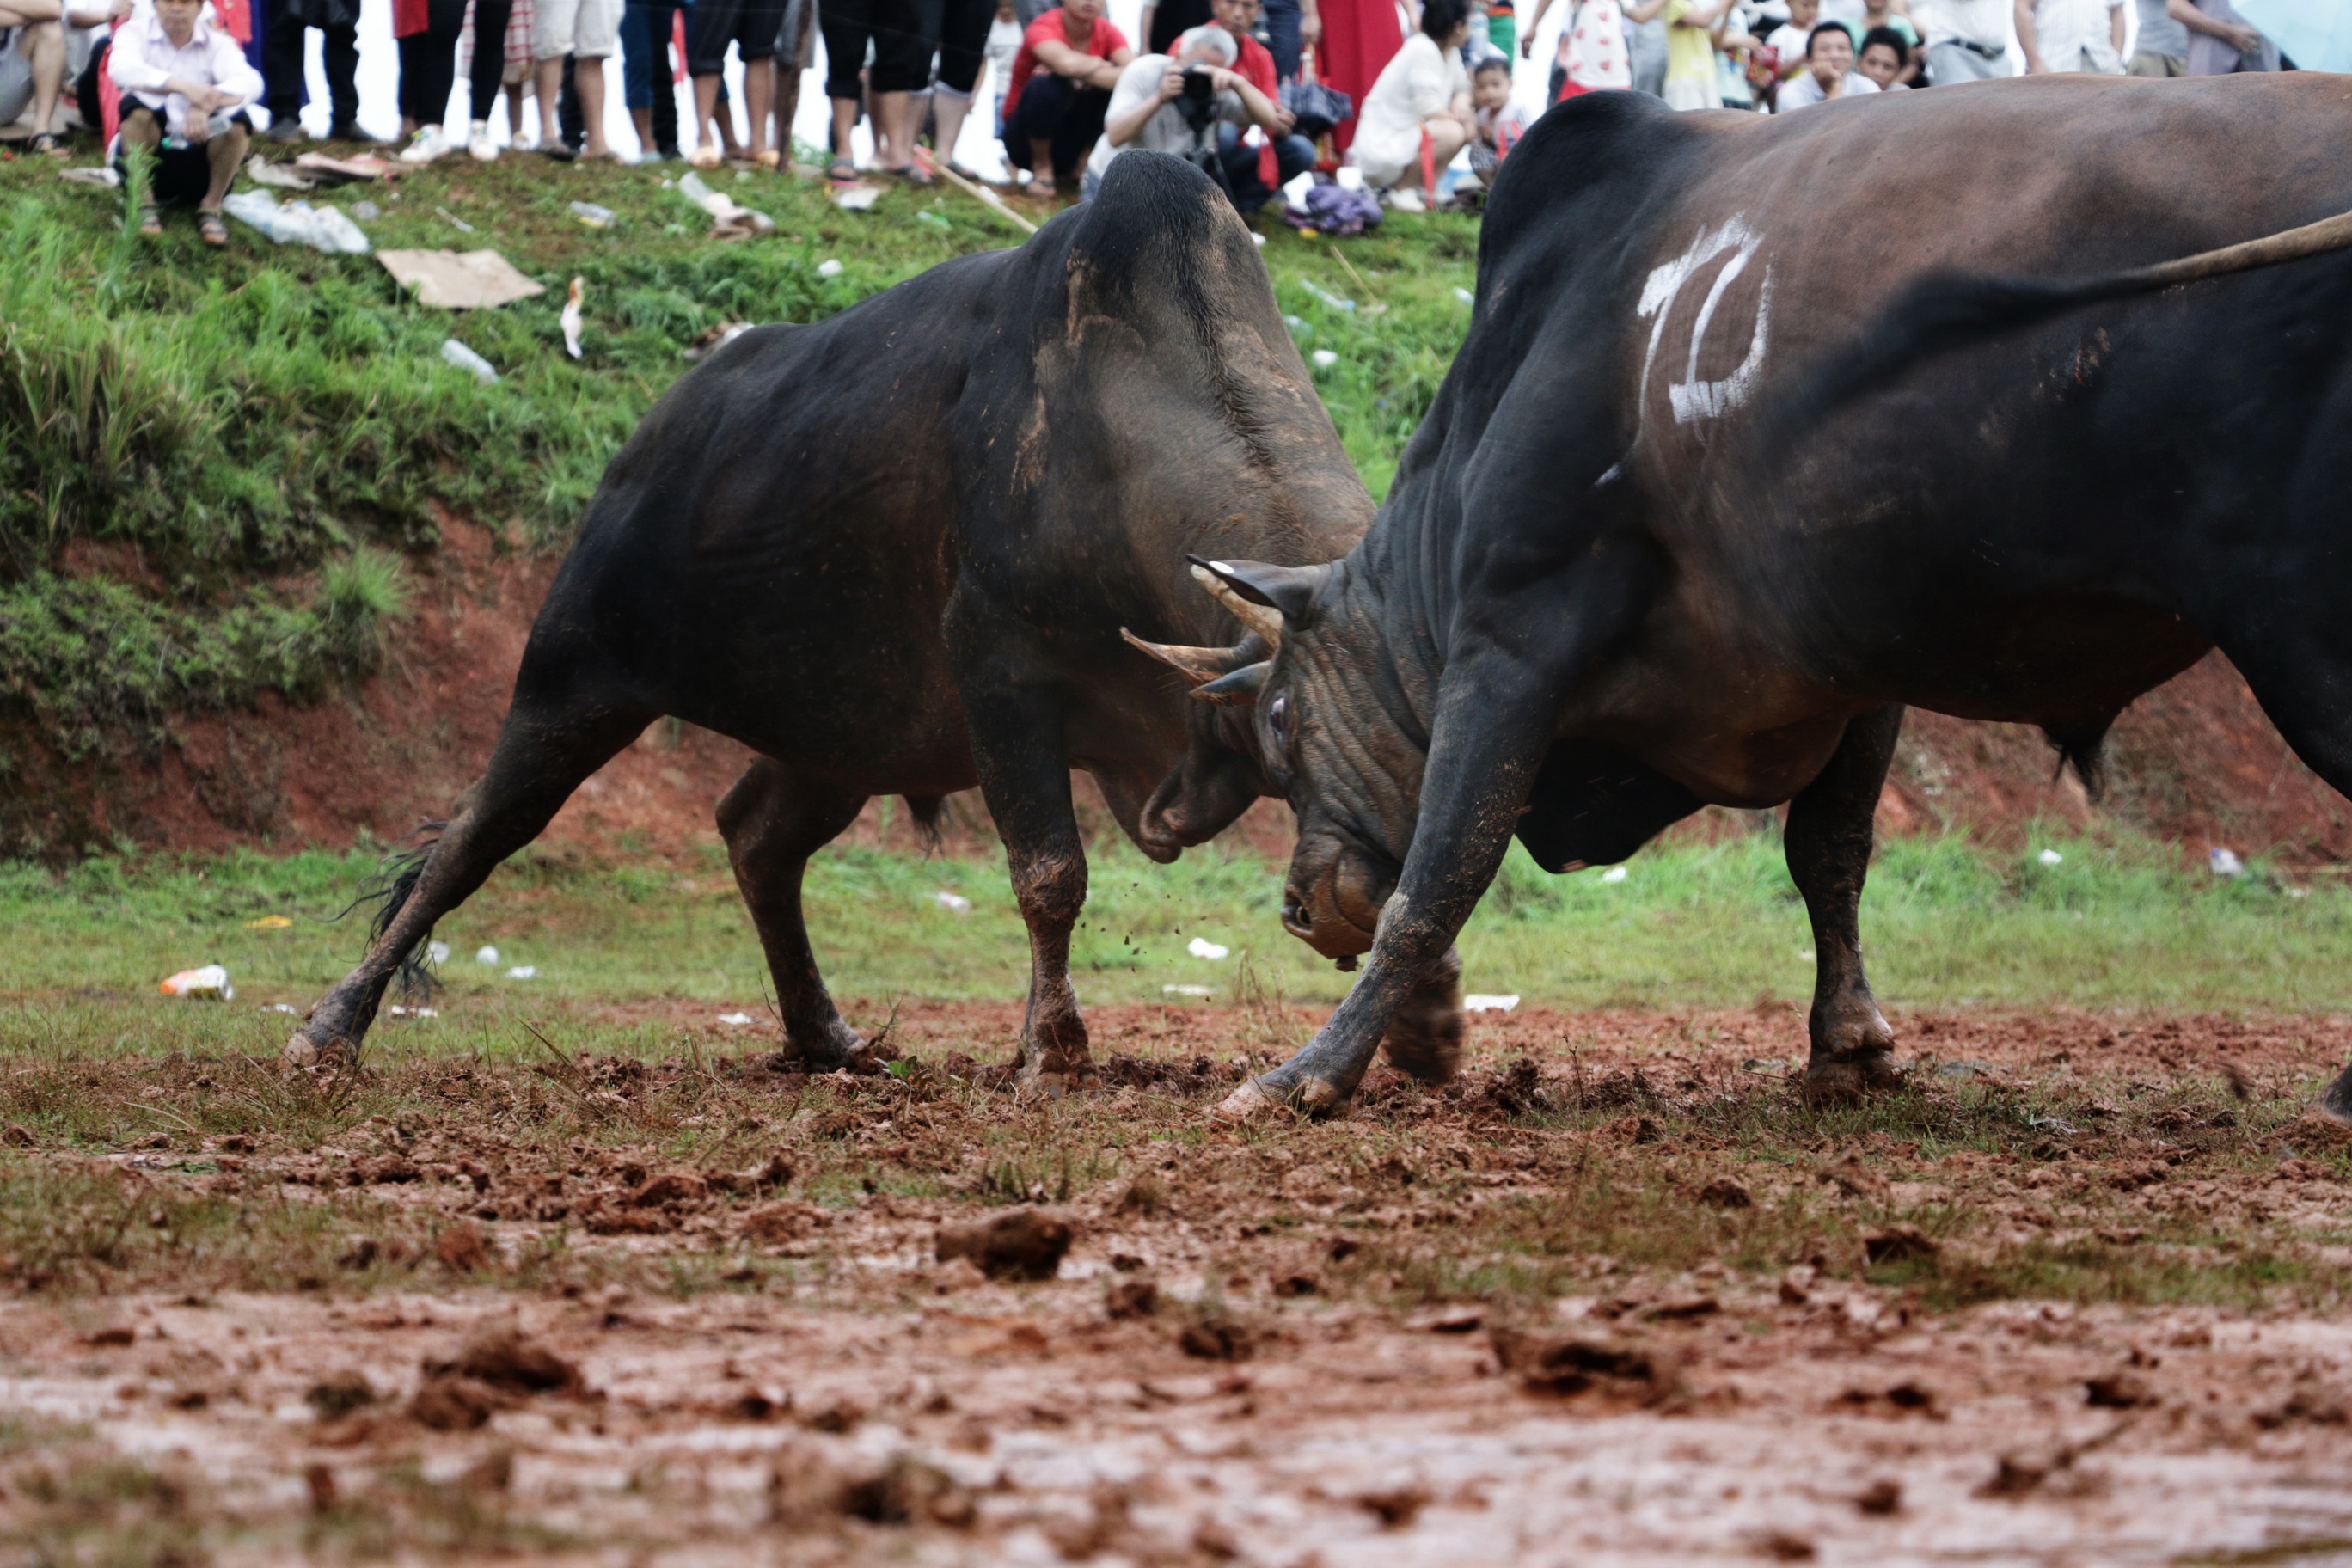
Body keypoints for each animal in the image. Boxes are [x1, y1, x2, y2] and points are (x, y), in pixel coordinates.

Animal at [294, 156, 1439, 1090]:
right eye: (1284, 725)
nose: (1335, 904)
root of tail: (652, 437)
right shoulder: (1000, 674)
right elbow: (1049, 877)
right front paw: (1052, 1050)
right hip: (573, 679)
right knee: (474, 837)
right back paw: (332, 1027)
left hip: (846, 739)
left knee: (756, 837)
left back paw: (823, 1036)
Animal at [1124, 79, 2352, 1124]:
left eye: (1282, 722)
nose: (1297, 906)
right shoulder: (1852, 678)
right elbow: (1831, 855)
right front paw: (1847, 1048)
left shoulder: (1510, 650)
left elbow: (1436, 878)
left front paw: (1306, 1075)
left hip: (2303, 635)